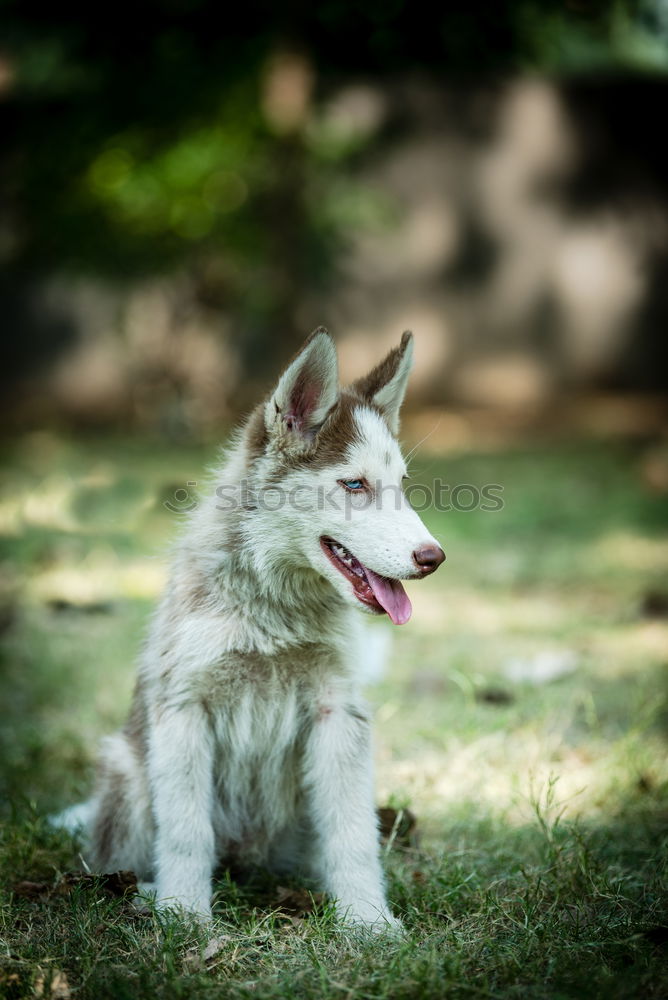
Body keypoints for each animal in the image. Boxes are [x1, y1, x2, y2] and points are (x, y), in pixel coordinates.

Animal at [56, 332, 444, 932]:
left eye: (402, 487)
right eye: (354, 485)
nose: (433, 557)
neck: (275, 607)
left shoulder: (339, 712)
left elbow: (353, 834)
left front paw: (368, 923)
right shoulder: (183, 709)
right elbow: (187, 834)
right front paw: (184, 917)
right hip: (129, 771)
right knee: (117, 862)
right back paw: (144, 892)